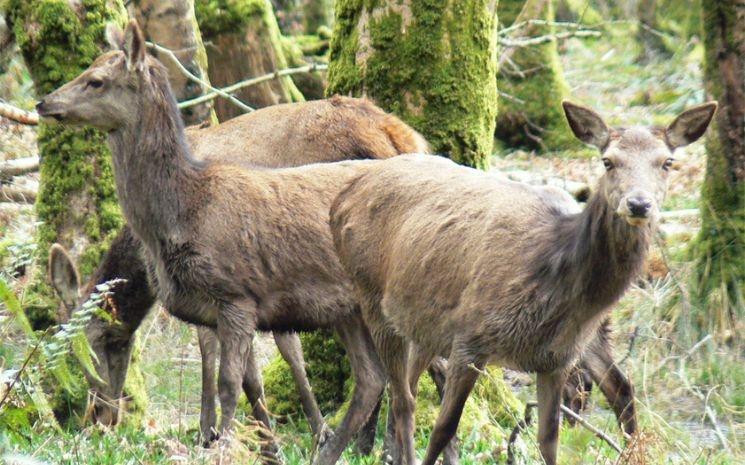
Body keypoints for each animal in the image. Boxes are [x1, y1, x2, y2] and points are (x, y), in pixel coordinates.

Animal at [330, 99, 716, 462]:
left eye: (667, 162)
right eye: (608, 161)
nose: (638, 204)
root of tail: (342, 199)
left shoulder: (557, 358)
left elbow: (548, 441)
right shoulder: (470, 336)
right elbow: (443, 427)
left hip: (424, 322)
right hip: (372, 296)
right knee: (402, 399)